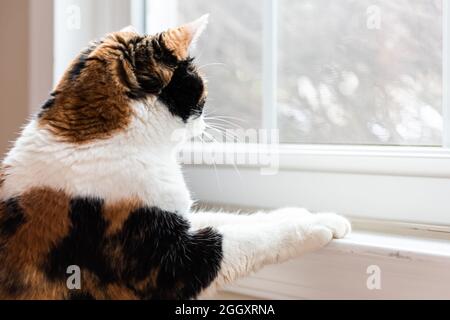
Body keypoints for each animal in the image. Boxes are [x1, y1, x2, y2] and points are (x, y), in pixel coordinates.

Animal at [0, 15, 350, 300]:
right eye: (201, 90)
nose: (205, 121)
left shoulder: (177, 214)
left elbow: (235, 219)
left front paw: (312, 215)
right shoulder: (170, 264)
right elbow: (244, 237)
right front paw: (313, 226)